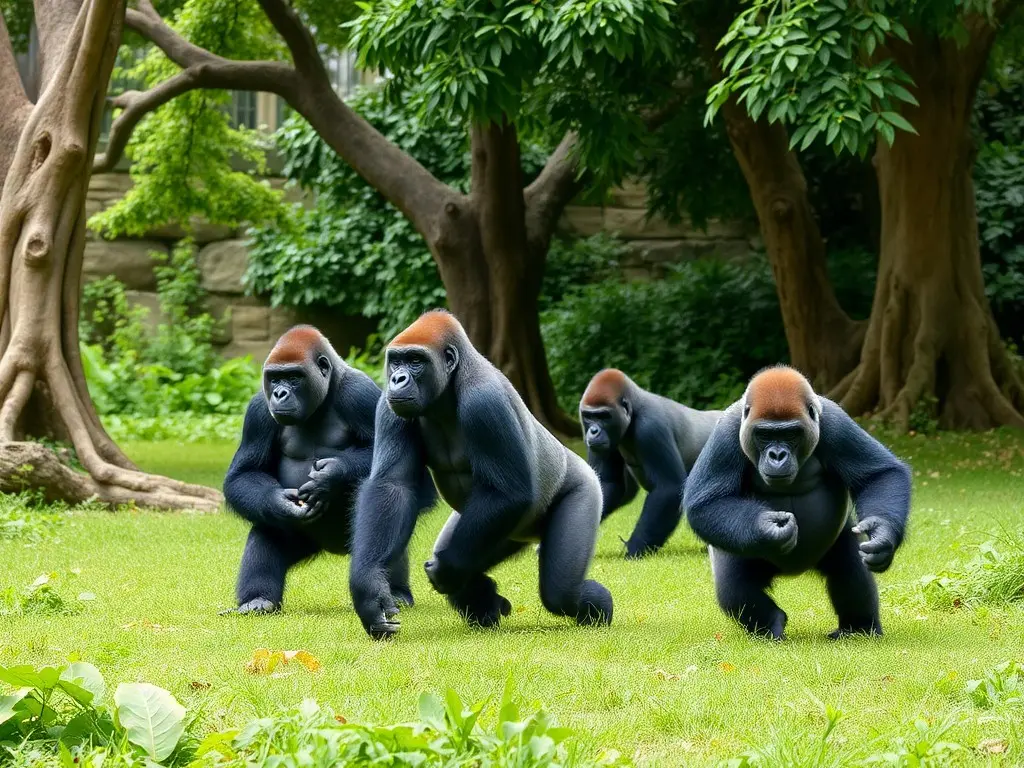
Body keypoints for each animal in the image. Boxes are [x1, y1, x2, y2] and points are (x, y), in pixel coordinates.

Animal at [223, 325, 423, 615]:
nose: (279, 394)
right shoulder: (259, 409)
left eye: (294, 377)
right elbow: (244, 475)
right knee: (267, 524)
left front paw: (331, 476)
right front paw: (280, 501)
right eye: (275, 378)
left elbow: (389, 462)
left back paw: (395, 591)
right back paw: (258, 598)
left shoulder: (360, 393)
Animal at [348, 310, 613, 639]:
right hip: (504, 531)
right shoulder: (389, 405)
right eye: (396, 361)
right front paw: (370, 589)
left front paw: (448, 569)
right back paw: (486, 601)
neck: (452, 382)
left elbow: (509, 493)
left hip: (584, 488)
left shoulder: (485, 402)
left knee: (561, 590)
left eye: (416, 360)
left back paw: (599, 606)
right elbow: (393, 485)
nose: (397, 379)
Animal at [579, 369, 722, 558]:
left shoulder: (651, 427)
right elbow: (608, 483)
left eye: (604, 416)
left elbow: (668, 488)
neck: (635, 408)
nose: (593, 431)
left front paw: (635, 549)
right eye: (589, 416)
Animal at [682, 365, 911, 640]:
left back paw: (858, 627)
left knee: (850, 570)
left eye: (790, 434)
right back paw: (772, 622)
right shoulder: (726, 432)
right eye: (764, 435)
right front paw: (765, 529)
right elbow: (707, 503)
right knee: (734, 587)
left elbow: (880, 475)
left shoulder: (836, 423)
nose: (777, 455)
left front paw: (882, 535)